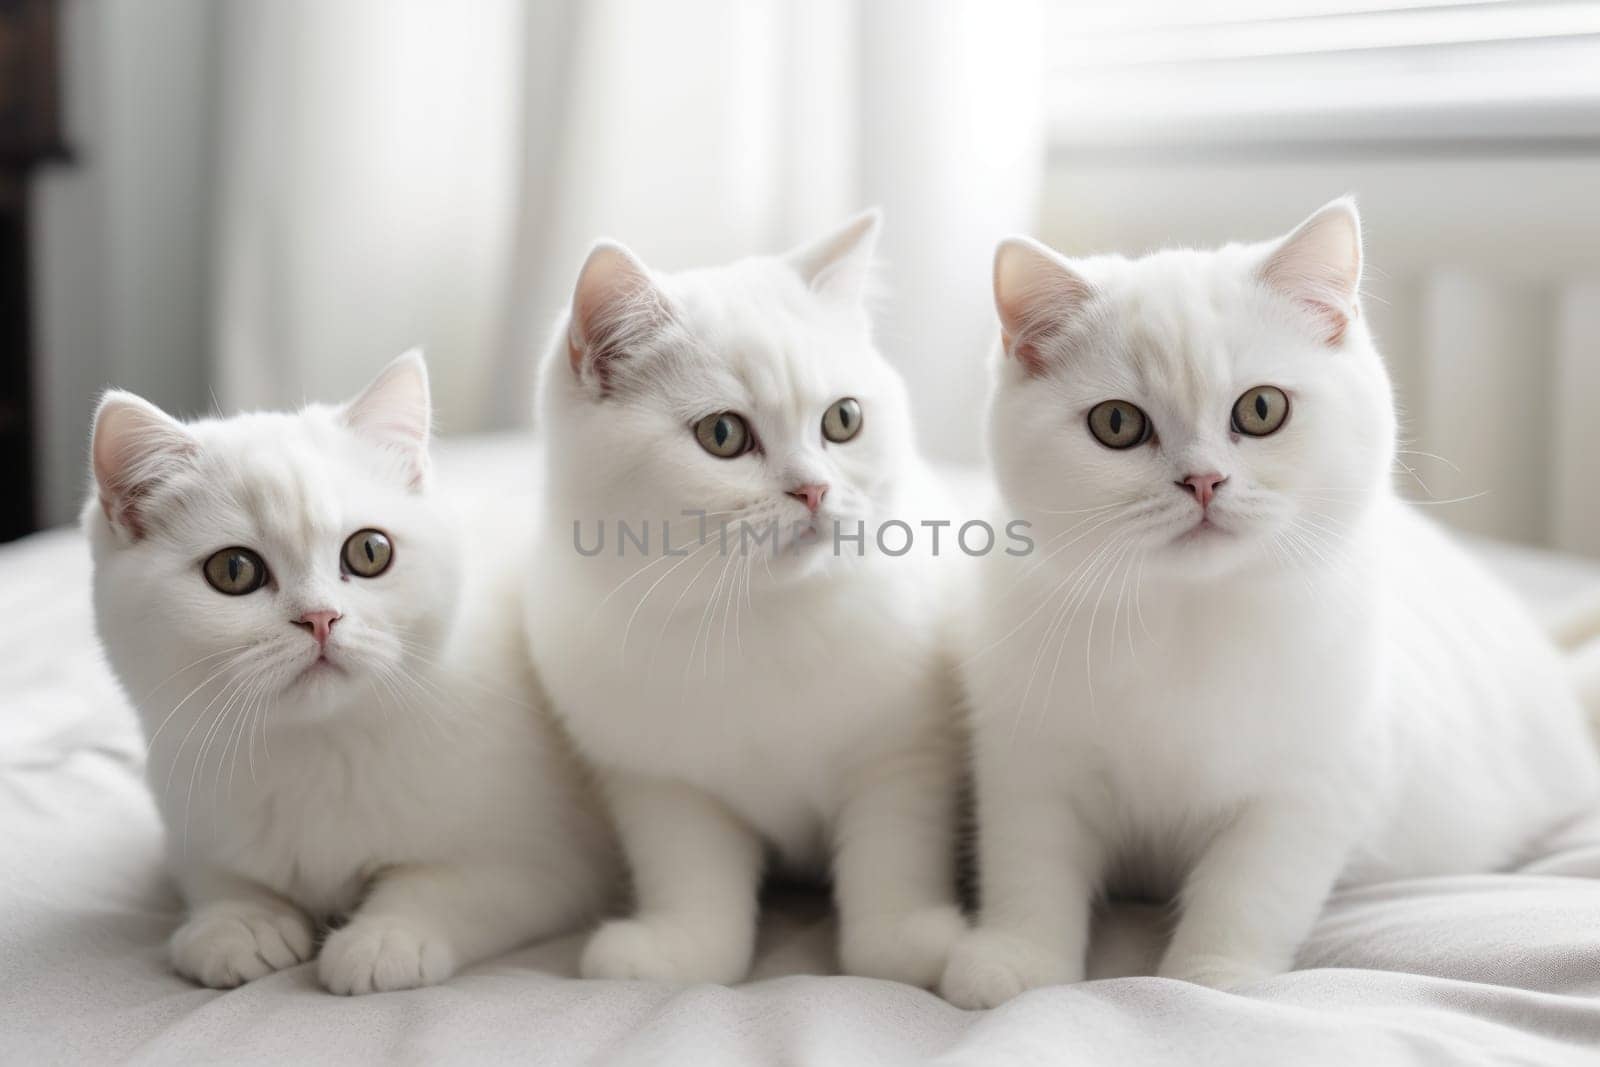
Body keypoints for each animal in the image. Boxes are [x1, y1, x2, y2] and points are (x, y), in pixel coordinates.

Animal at [86, 355, 617, 998]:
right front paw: (241, 923)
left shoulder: (553, 862)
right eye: (233, 569)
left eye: (369, 551)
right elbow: (214, 875)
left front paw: (387, 937)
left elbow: (453, 885)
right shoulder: (191, 813)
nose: (319, 618)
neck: (321, 747)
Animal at [531, 212, 966, 991]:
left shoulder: (901, 753)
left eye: (844, 419)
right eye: (723, 434)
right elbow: (691, 872)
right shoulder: (661, 782)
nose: (814, 489)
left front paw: (905, 940)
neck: (756, 618)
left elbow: (894, 853)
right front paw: (681, 948)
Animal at [934, 199, 1600, 1011]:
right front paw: (1017, 960)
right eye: (1117, 424)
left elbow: (1248, 890)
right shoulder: (1031, 761)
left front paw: (1214, 980)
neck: (1185, 619)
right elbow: (1030, 866)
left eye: (1260, 409)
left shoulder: (1309, 786)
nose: (1203, 480)